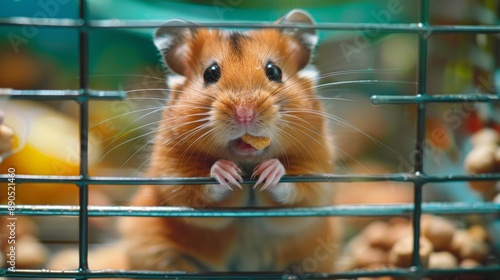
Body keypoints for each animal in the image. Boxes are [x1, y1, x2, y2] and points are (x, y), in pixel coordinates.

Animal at [118, 9, 336, 274]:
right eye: (210, 73)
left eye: (274, 71)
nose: (245, 113)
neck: (247, 160)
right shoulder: (173, 174)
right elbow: (199, 190)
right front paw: (227, 172)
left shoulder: (316, 173)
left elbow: (298, 191)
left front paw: (269, 171)